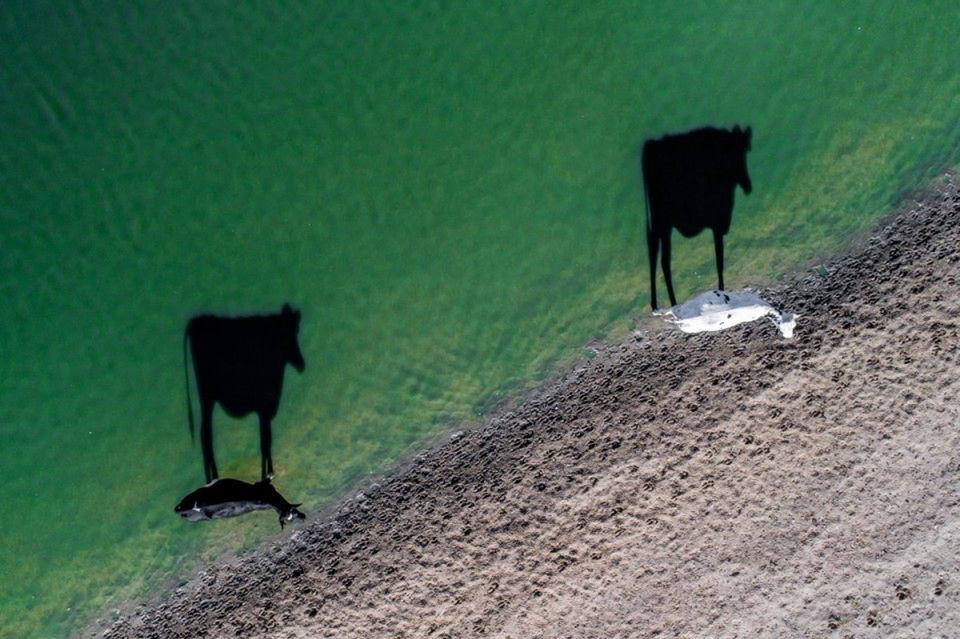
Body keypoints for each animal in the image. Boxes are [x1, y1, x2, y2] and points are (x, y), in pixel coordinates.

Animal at [186, 304, 306, 480]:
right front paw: (266, 475)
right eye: (288, 333)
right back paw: (213, 477)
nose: (301, 363)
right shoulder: (264, 406)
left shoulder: (265, 409)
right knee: (206, 436)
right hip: (207, 397)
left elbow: (266, 439)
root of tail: (197, 321)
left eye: (296, 330)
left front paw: (269, 472)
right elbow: (265, 441)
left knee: (204, 435)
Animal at [640, 124, 752, 310]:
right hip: (662, 221)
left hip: (660, 223)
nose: (747, 185)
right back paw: (671, 301)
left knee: (654, 252)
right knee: (662, 258)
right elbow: (719, 257)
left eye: (743, 153)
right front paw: (722, 289)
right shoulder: (717, 221)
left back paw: (656, 303)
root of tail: (650, 146)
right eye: (735, 154)